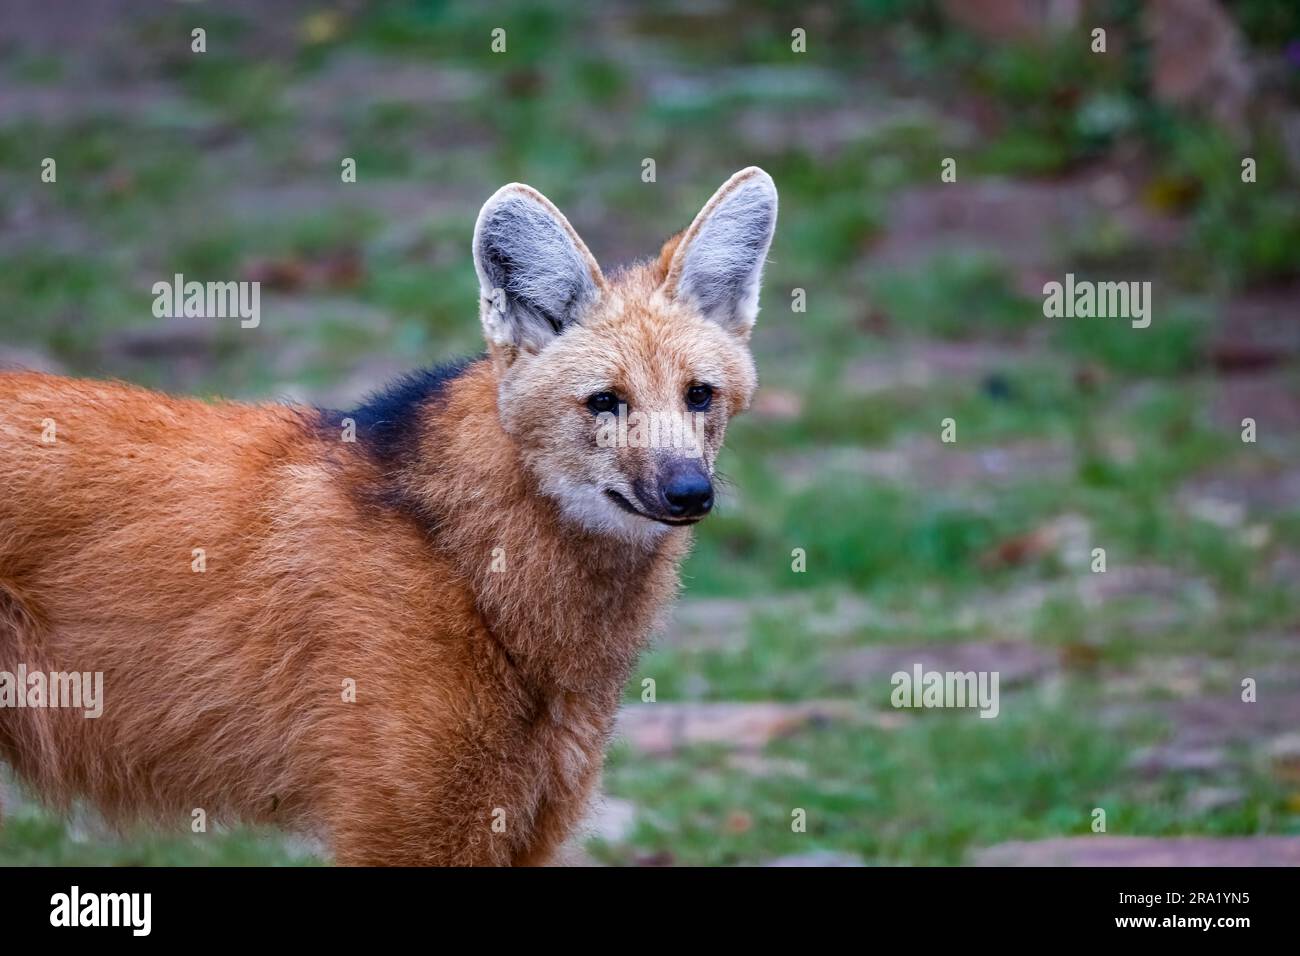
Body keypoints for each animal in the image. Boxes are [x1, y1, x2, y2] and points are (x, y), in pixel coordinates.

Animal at [0, 166, 769, 868]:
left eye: (699, 395)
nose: (689, 492)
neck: (474, 570)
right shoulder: (411, 830)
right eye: (606, 401)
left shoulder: (521, 823)